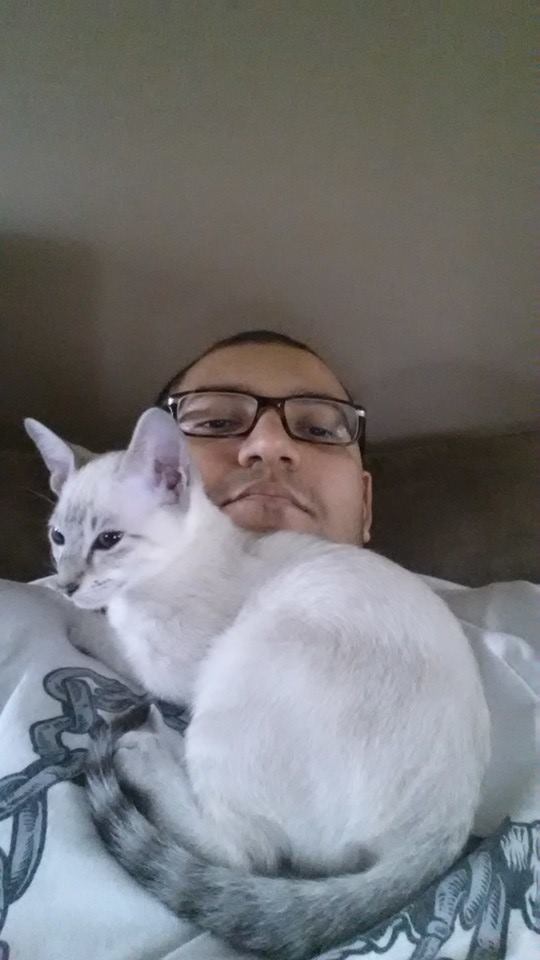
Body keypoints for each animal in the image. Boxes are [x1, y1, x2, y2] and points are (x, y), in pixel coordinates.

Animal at [26, 408, 490, 960]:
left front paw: (72, 614)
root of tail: (443, 830)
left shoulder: (168, 668)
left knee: (249, 853)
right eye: (58, 539)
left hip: (238, 672)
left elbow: (110, 639)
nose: (68, 583)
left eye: (109, 541)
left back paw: (144, 750)